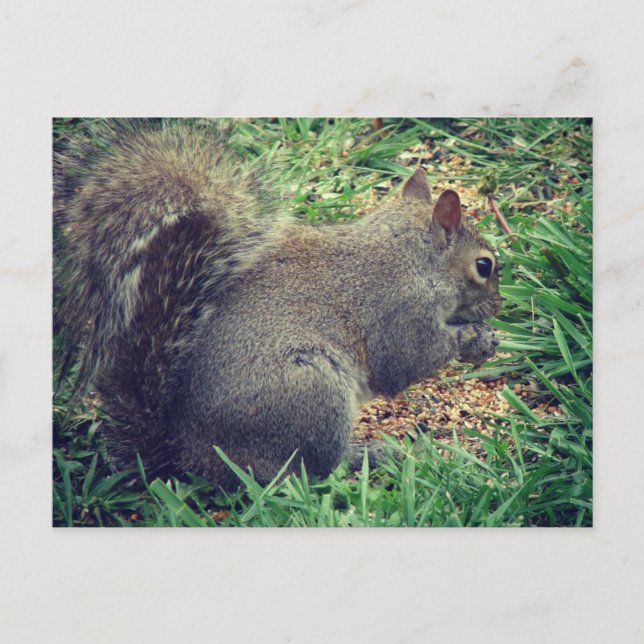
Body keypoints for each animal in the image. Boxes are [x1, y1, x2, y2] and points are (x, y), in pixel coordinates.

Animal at [54, 119, 501, 490]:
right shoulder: (398, 311)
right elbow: (405, 361)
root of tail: (191, 460)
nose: (496, 306)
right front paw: (476, 339)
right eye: (484, 266)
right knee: (309, 471)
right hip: (312, 392)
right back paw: (366, 455)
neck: (412, 257)